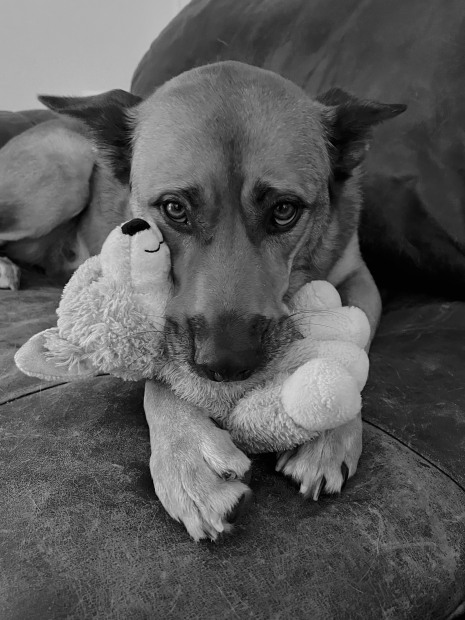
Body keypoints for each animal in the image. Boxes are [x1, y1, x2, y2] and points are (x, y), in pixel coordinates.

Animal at [1, 61, 405, 540]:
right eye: (174, 209)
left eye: (284, 210)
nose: (226, 366)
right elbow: (161, 377)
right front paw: (187, 455)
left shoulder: (360, 279)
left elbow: (356, 347)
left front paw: (331, 427)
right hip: (64, 168)